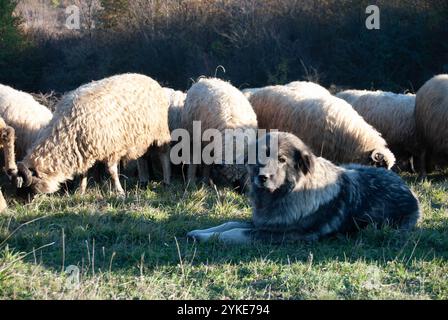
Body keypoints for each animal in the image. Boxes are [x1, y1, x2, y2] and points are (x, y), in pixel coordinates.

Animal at [13, 74, 172, 196]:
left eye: (30, 185)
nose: (26, 202)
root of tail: (150, 79)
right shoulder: (83, 151)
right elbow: (83, 172)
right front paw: (81, 191)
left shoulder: (111, 149)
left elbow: (112, 172)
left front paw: (119, 191)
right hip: (142, 138)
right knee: (143, 157)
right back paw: (144, 180)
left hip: (160, 132)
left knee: (163, 154)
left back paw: (166, 181)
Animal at [187, 131, 422, 244]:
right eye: (260, 156)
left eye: (281, 160)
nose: (262, 177)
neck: (286, 194)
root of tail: (405, 186)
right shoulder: (263, 222)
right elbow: (228, 223)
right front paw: (200, 232)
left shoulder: (285, 234)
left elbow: (235, 232)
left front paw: (208, 238)